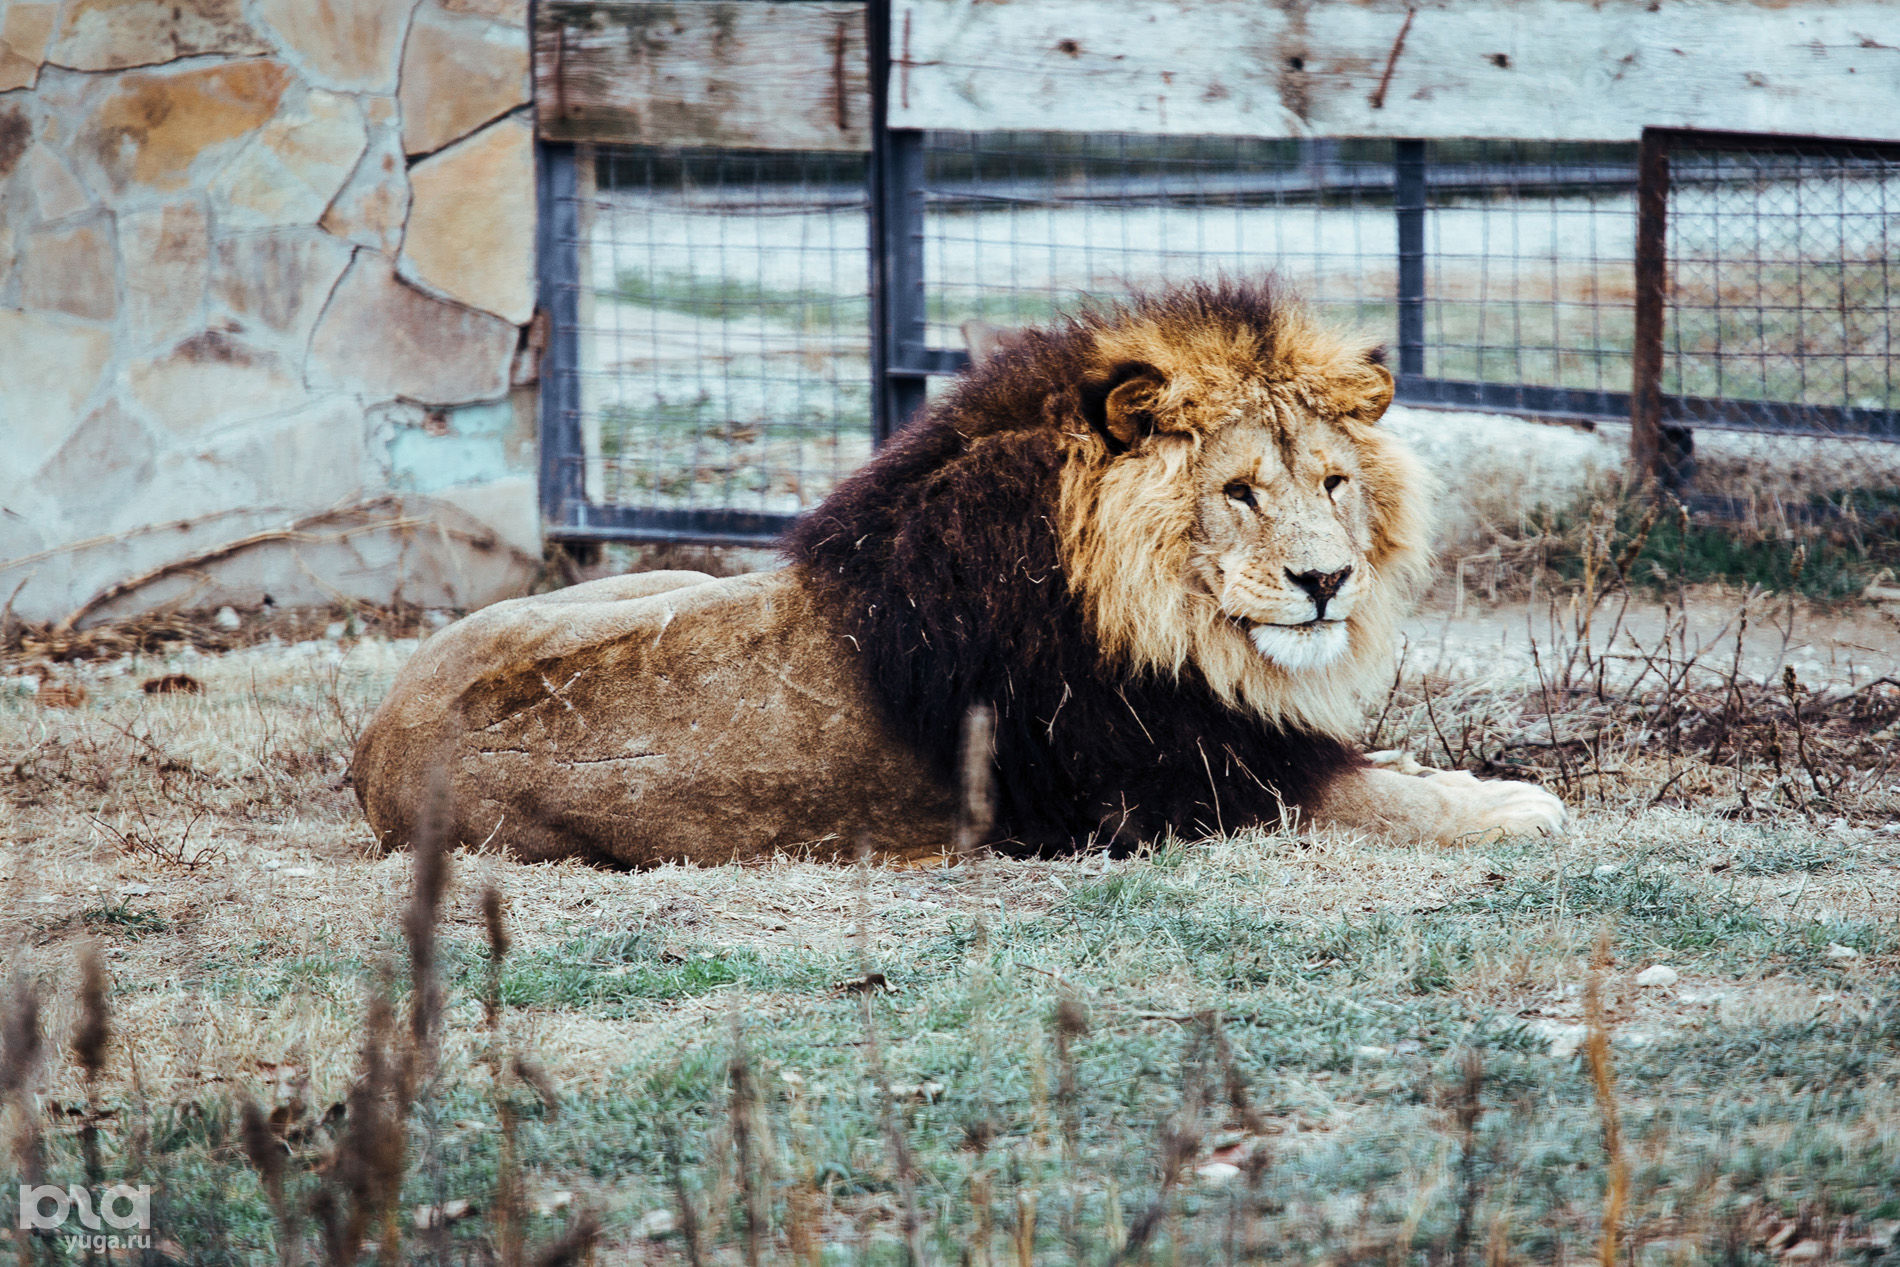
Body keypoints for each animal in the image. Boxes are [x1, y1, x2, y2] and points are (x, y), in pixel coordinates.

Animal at [353, 283, 1558, 866]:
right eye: (1239, 492)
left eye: (1334, 481)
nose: (1325, 582)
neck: (1161, 616)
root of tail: (370, 746)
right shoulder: (1190, 793)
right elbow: (1386, 800)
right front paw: (1512, 803)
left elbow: (1376, 764)